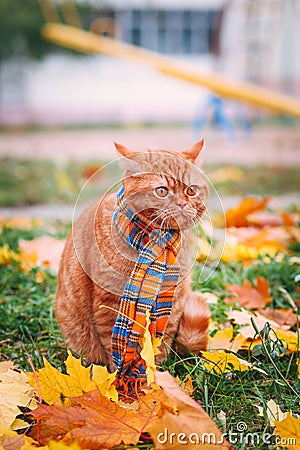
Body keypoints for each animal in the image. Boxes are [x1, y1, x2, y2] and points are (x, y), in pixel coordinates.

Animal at [56, 141, 211, 370]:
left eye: (191, 190)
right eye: (162, 191)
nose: (183, 203)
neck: (157, 245)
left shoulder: (174, 304)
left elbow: (159, 346)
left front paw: (157, 375)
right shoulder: (109, 304)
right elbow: (116, 351)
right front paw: (121, 377)